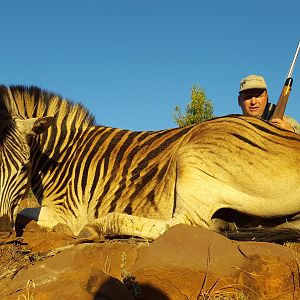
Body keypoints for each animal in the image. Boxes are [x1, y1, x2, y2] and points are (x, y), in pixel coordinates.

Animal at [0, 85, 300, 240]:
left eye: (24, 167)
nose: (2, 230)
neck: (64, 154)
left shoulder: (65, 213)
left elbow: (25, 215)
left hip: (191, 160)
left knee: (186, 225)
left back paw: (96, 227)